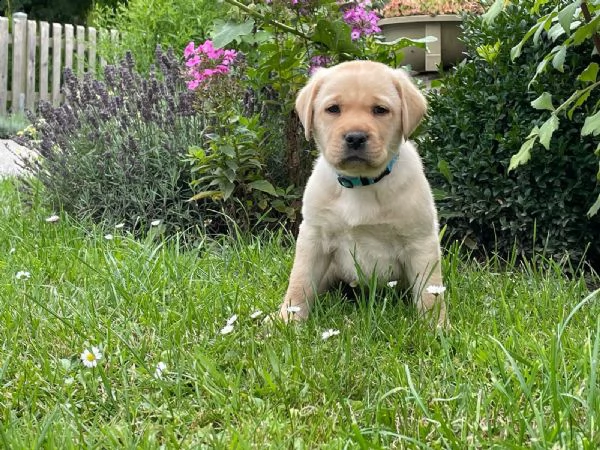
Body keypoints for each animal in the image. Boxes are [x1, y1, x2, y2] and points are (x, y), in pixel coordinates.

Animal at [280, 60, 446, 326]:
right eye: (333, 109)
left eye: (380, 110)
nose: (355, 137)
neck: (361, 183)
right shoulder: (313, 237)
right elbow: (299, 282)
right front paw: (284, 322)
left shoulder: (420, 241)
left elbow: (430, 292)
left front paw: (436, 327)